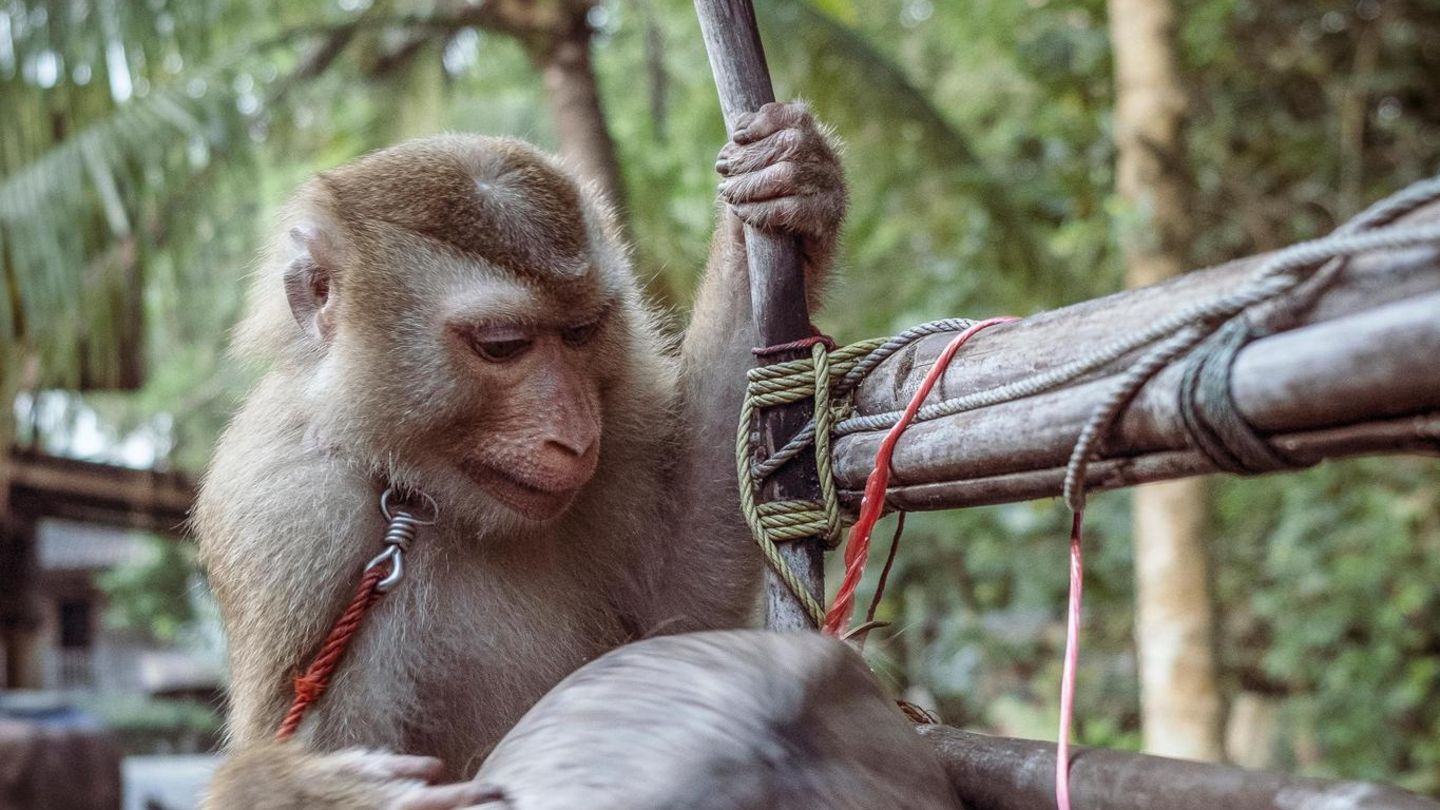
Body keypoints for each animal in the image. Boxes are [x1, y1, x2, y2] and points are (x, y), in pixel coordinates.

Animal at [191, 102, 840, 807]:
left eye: (581, 333)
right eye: (502, 345)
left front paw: (791, 180)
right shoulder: (285, 515)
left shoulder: (623, 415)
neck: (422, 489)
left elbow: (677, 602)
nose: (575, 436)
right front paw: (310, 786)